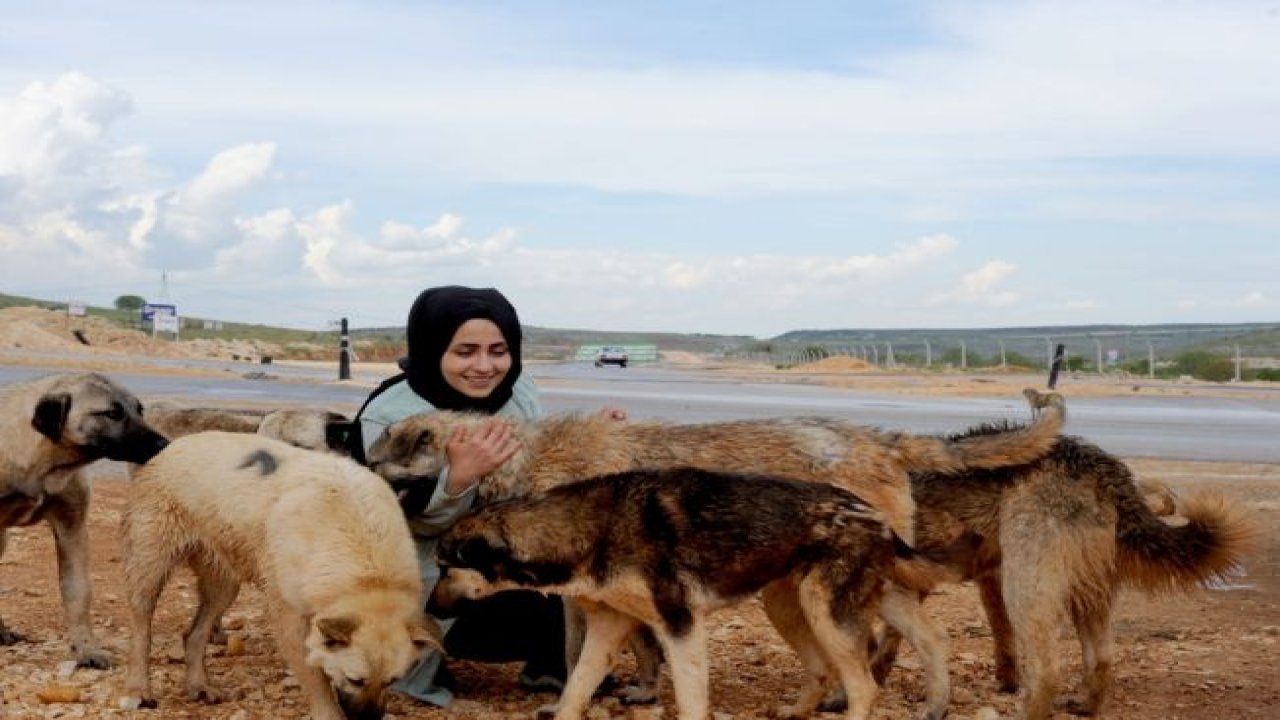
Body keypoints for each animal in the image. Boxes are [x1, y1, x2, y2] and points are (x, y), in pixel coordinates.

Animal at [0, 371, 170, 666]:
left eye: (139, 410)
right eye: (112, 413)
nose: (164, 444)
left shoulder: (72, 526)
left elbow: (78, 592)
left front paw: (86, 648)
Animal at [120, 430, 440, 717]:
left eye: (392, 681)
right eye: (355, 680)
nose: (369, 719)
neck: (368, 572)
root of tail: (173, 444)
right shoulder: (291, 622)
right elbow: (318, 683)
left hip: (223, 586)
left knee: (194, 634)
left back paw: (199, 686)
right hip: (151, 565)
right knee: (141, 627)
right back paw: (138, 689)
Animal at [440, 466, 952, 717]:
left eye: (446, 567)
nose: (429, 608)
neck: (592, 527)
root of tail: (873, 514)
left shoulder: (680, 627)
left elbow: (690, 701)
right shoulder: (609, 627)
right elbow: (574, 691)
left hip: (825, 610)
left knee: (864, 687)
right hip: (795, 604)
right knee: (912, 644)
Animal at [870, 427, 1249, 712]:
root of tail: (1098, 463)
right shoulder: (983, 577)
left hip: (1026, 585)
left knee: (1046, 671)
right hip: (1086, 589)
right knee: (1101, 658)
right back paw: (1086, 707)